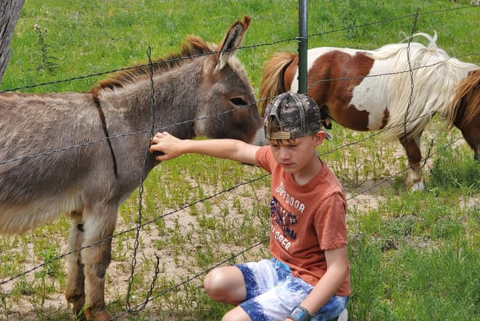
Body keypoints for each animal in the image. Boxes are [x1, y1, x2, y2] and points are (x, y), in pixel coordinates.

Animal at [0, 15, 262, 320]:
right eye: (238, 100)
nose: (265, 143)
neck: (125, 126)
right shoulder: (104, 204)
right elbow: (98, 259)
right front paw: (98, 313)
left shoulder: (81, 208)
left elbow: (76, 254)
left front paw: (78, 305)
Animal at [258, 33, 480, 190]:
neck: (428, 79)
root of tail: (294, 58)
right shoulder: (407, 125)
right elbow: (415, 154)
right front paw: (417, 186)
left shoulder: (415, 125)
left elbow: (414, 156)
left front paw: (412, 181)